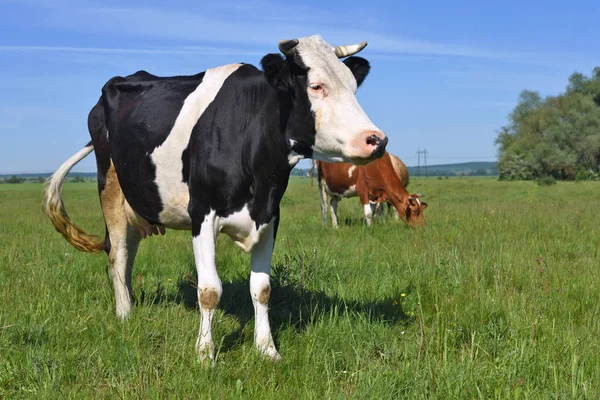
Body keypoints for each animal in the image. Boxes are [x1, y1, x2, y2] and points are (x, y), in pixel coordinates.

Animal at [43, 35, 390, 362]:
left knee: (128, 253)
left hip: (139, 201)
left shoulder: (270, 215)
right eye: (317, 86)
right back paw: (125, 315)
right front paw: (204, 353)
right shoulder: (202, 213)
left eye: (353, 86)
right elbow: (209, 290)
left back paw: (128, 303)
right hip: (110, 187)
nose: (377, 140)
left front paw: (267, 350)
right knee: (117, 255)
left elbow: (262, 288)